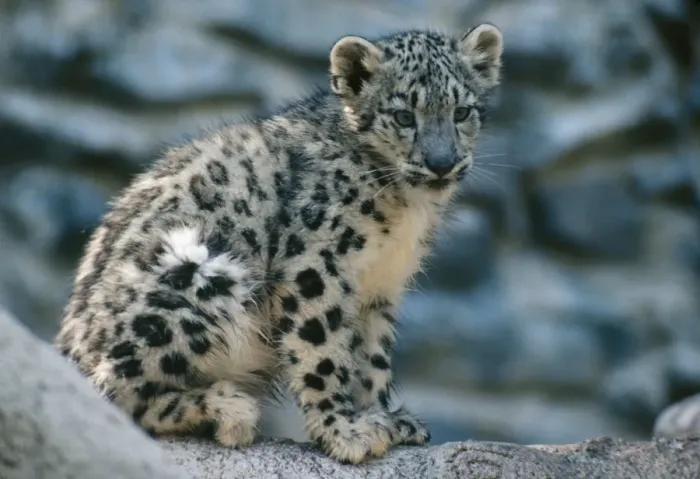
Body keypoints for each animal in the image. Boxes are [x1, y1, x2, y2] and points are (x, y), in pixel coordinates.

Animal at [54, 23, 503, 464]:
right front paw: (344, 432)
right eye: (404, 115)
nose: (442, 163)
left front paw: (384, 418)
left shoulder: (380, 287)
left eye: (462, 111)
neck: (404, 211)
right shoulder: (316, 263)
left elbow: (371, 357)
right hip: (197, 274)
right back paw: (227, 410)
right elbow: (322, 348)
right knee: (113, 393)